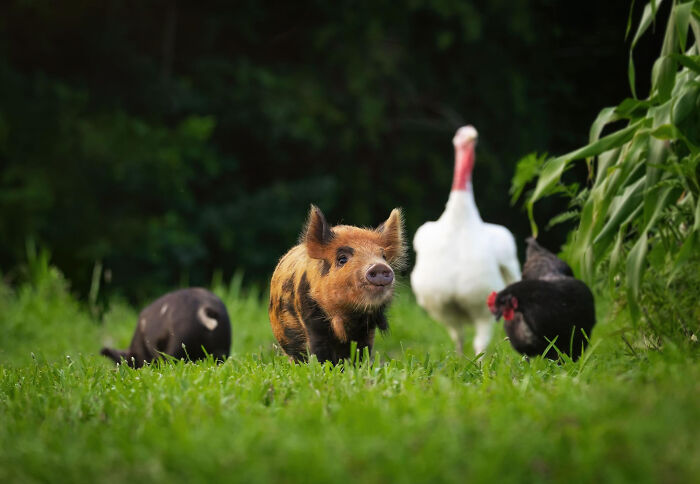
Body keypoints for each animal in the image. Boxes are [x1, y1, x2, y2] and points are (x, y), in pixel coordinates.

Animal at [269, 205, 406, 364]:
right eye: (342, 259)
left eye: (383, 256)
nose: (379, 266)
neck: (350, 315)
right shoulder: (311, 318)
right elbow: (319, 351)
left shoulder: (367, 330)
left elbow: (362, 350)